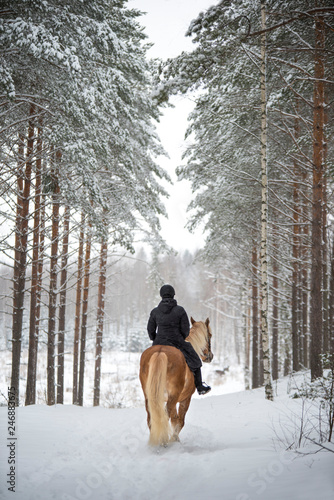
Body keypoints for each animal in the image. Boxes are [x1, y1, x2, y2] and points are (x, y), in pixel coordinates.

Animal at [139, 316, 214, 446]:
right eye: (210, 335)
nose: (210, 356)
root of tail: (160, 352)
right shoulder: (185, 398)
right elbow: (180, 420)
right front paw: (174, 439)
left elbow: (174, 419)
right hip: (173, 396)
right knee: (165, 416)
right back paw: (163, 442)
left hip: (151, 397)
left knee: (152, 418)